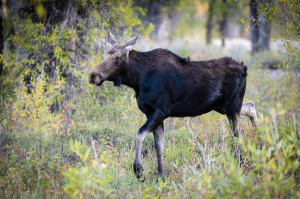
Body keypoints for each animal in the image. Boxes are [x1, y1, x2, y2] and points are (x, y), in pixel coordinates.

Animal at [89, 30, 248, 180]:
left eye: (116, 58)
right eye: (104, 55)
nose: (93, 75)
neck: (137, 80)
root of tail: (244, 68)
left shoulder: (161, 111)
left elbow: (139, 135)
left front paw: (139, 170)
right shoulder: (151, 113)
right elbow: (159, 148)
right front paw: (161, 177)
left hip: (232, 106)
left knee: (238, 137)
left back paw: (239, 166)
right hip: (222, 106)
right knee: (250, 106)